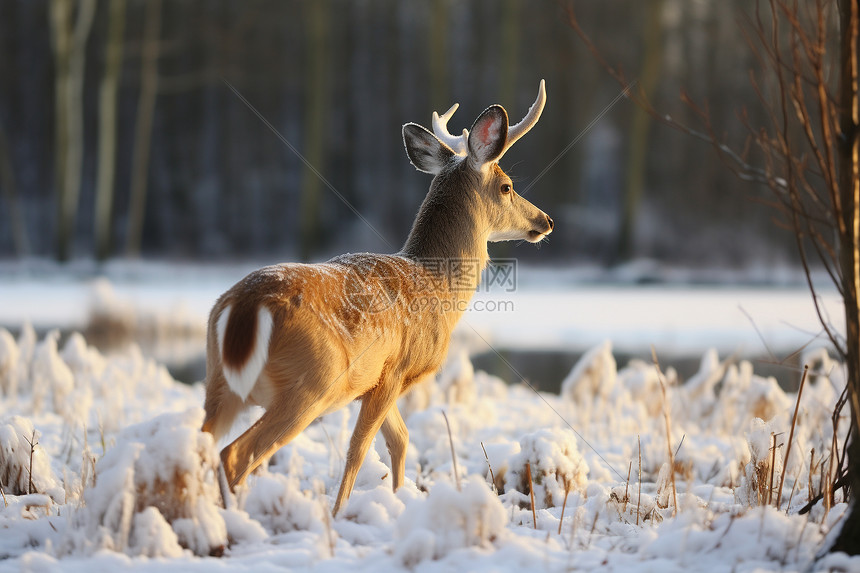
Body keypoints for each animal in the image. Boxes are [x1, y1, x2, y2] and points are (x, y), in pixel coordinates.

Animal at [200, 80, 552, 512]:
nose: (545, 221)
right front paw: (340, 513)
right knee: (235, 455)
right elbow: (359, 449)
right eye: (507, 187)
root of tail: (243, 308)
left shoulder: (374, 381)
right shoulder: (394, 369)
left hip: (218, 381)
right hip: (308, 384)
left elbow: (400, 441)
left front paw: (399, 499)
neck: (438, 284)